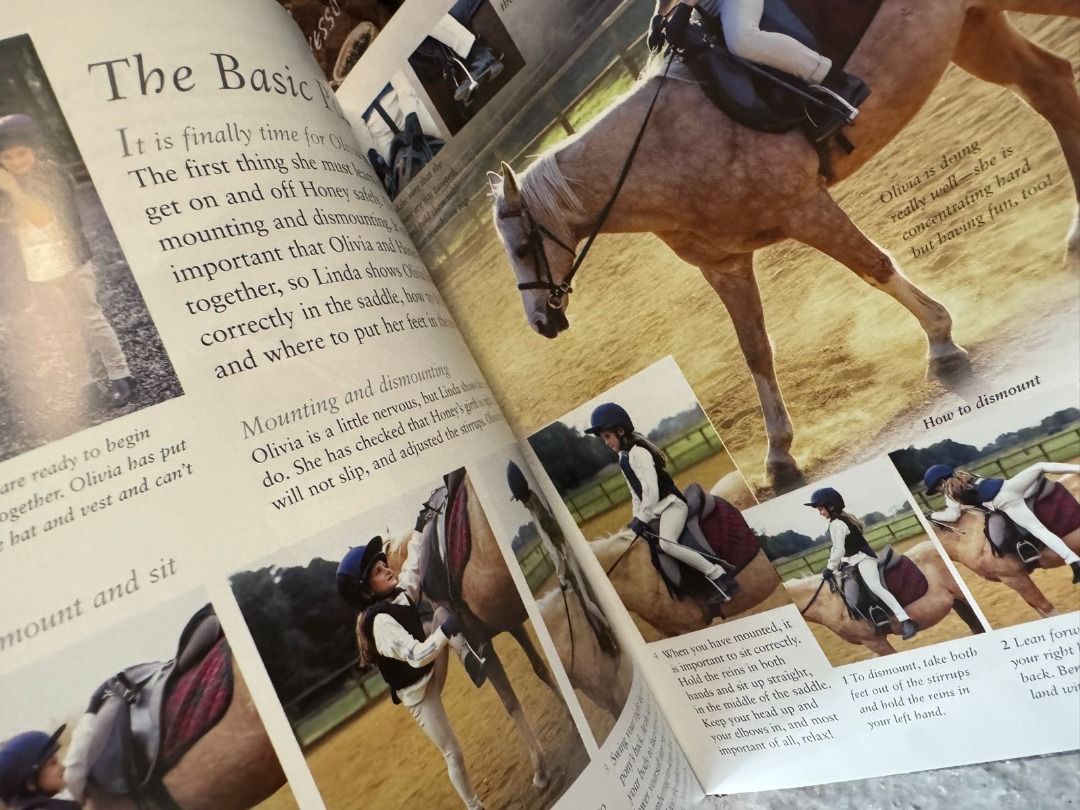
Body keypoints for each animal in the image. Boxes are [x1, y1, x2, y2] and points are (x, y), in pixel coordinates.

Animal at [491, 0, 1080, 491]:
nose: (541, 323)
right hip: (975, 29)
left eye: (521, 246)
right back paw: (1075, 237)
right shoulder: (725, 265)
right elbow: (755, 350)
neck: (662, 148)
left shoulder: (805, 208)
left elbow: (874, 266)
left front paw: (941, 344)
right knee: (1050, 87)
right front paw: (778, 456)